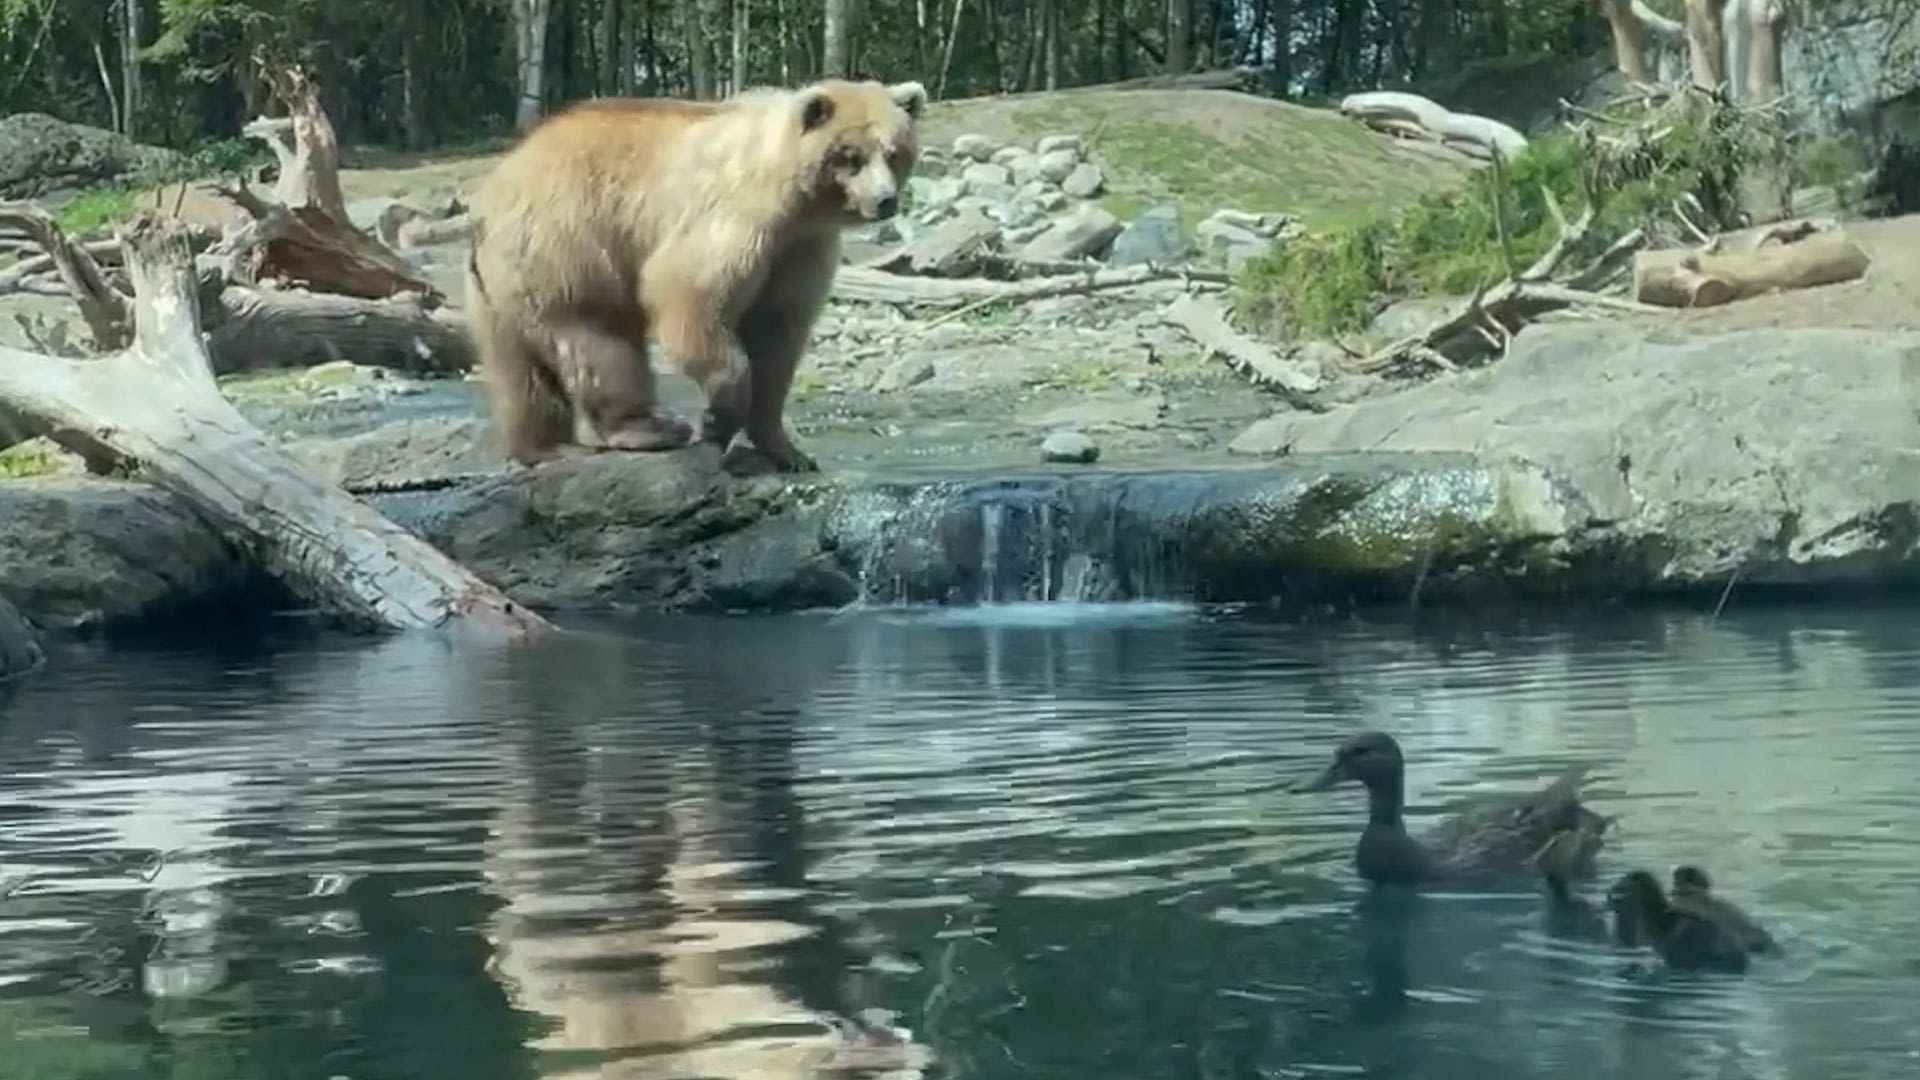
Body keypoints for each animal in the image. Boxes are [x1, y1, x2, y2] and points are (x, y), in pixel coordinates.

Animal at [456, 77, 921, 472]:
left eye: (894, 152)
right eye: (851, 156)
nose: (885, 200)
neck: (793, 199)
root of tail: (485, 203)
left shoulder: (800, 249)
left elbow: (777, 335)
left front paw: (787, 449)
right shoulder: (735, 219)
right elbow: (690, 296)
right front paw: (716, 419)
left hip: (498, 290)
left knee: (519, 370)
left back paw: (545, 446)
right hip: (567, 245)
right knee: (600, 341)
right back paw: (651, 428)